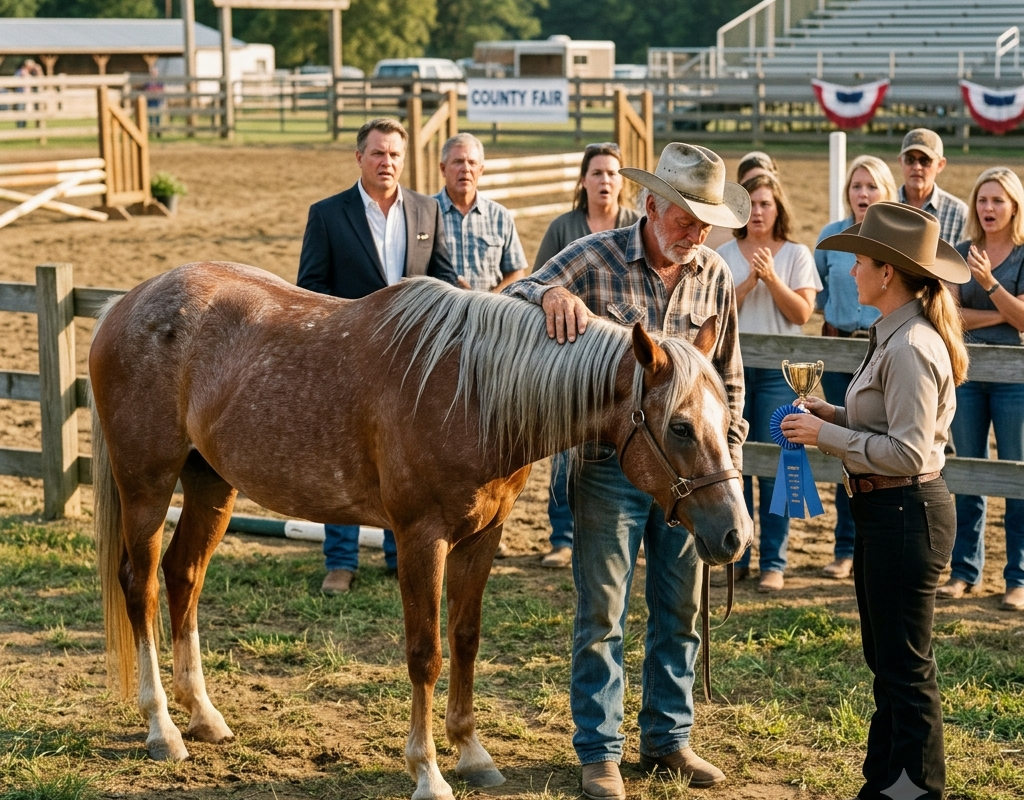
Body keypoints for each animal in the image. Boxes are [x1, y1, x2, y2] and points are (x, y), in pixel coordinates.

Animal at [90, 261, 751, 800]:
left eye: (727, 418)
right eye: (681, 427)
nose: (735, 536)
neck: (473, 391)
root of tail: (124, 304)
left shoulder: (483, 537)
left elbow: (465, 639)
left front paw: (473, 753)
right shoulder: (419, 540)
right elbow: (425, 654)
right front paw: (428, 771)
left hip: (211, 484)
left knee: (184, 576)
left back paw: (203, 716)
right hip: (147, 485)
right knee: (141, 586)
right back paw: (162, 728)